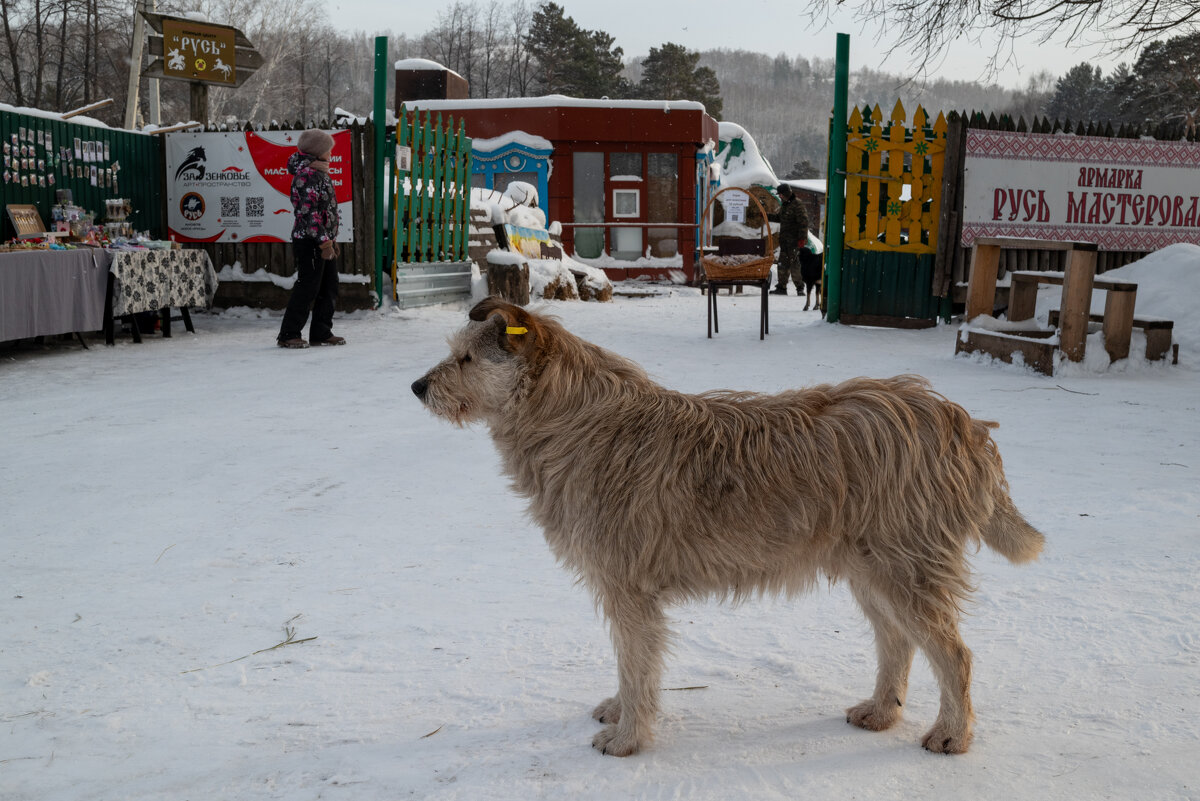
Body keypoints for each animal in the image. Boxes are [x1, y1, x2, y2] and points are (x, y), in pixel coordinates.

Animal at [410, 298, 1041, 757]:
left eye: (466, 360)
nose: (418, 388)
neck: (573, 419)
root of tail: (960, 421)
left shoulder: (629, 589)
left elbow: (637, 666)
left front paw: (627, 737)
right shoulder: (624, 591)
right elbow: (628, 663)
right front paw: (619, 710)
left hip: (907, 569)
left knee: (954, 655)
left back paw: (952, 734)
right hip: (873, 570)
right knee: (898, 642)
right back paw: (882, 710)